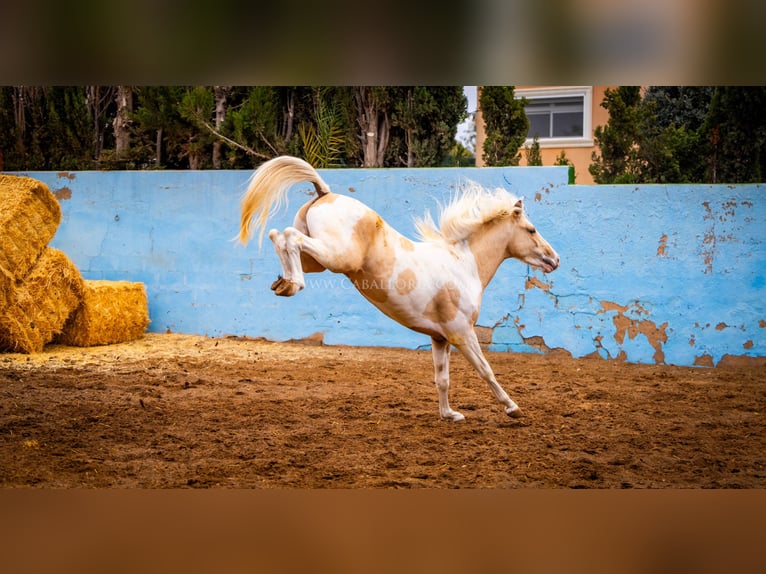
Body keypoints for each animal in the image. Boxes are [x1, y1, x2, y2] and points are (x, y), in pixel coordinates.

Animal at [242, 156, 564, 424]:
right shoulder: (462, 332)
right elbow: (486, 369)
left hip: (318, 261)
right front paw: (513, 408)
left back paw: (284, 283)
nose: (555, 259)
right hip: (337, 256)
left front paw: (449, 415)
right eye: (532, 230)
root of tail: (325, 193)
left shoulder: (440, 338)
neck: (463, 264)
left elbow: (442, 378)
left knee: (278, 235)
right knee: (290, 237)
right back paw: (293, 284)